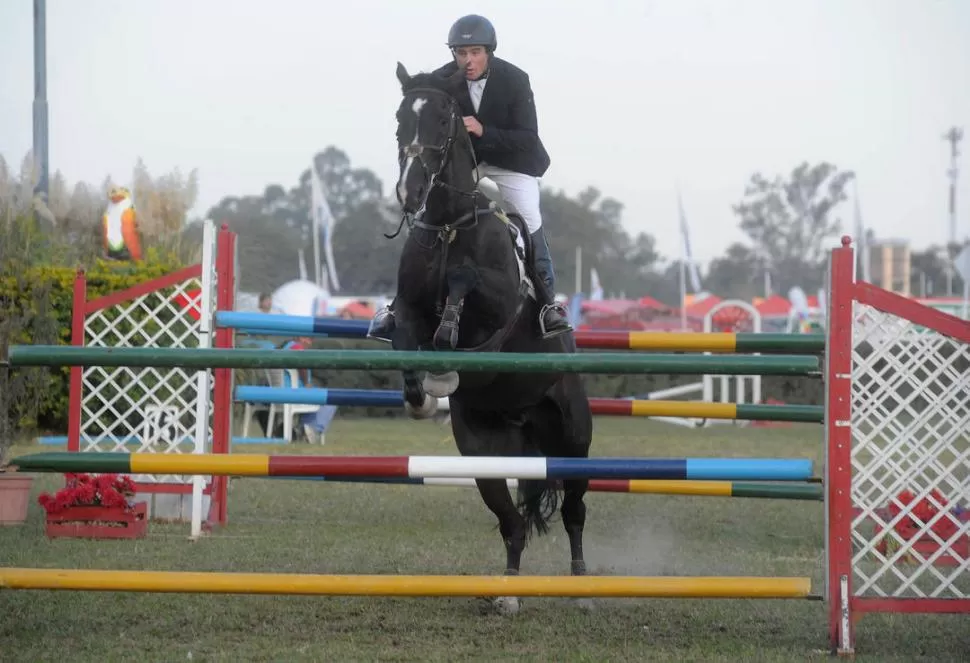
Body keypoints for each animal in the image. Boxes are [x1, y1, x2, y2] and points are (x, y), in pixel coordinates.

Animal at [390, 65, 592, 616]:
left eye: (443, 120)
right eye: (398, 120)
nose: (410, 193)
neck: (447, 226)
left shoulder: (498, 303)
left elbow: (464, 283)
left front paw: (448, 336)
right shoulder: (407, 308)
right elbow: (406, 340)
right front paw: (423, 394)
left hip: (574, 440)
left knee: (575, 511)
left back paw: (579, 586)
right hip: (484, 453)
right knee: (512, 522)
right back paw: (509, 594)